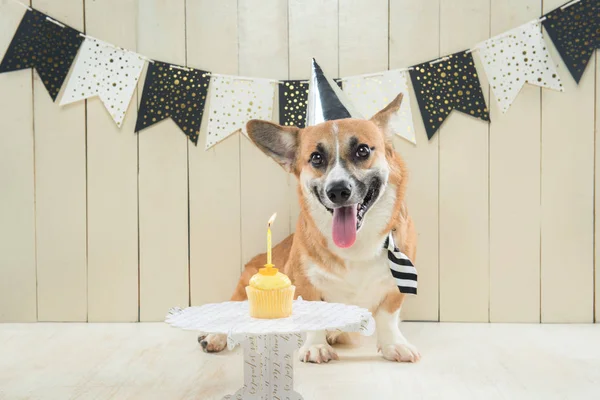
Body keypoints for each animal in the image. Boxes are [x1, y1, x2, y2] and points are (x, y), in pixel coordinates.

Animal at [197, 94, 418, 362]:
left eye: (363, 150)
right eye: (316, 158)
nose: (337, 191)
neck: (357, 244)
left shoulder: (396, 287)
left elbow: (388, 316)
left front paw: (393, 344)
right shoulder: (304, 282)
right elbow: (314, 314)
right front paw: (316, 347)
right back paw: (216, 336)